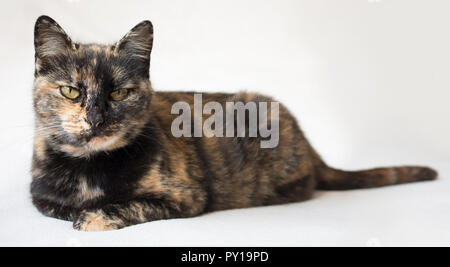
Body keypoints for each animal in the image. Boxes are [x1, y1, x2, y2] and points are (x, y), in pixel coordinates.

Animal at [29, 15, 438, 232]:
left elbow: (122, 207)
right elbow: (57, 207)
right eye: (70, 91)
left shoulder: (186, 197)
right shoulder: (39, 196)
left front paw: (92, 215)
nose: (96, 118)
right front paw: (79, 209)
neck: (90, 168)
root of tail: (309, 144)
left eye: (119, 93)